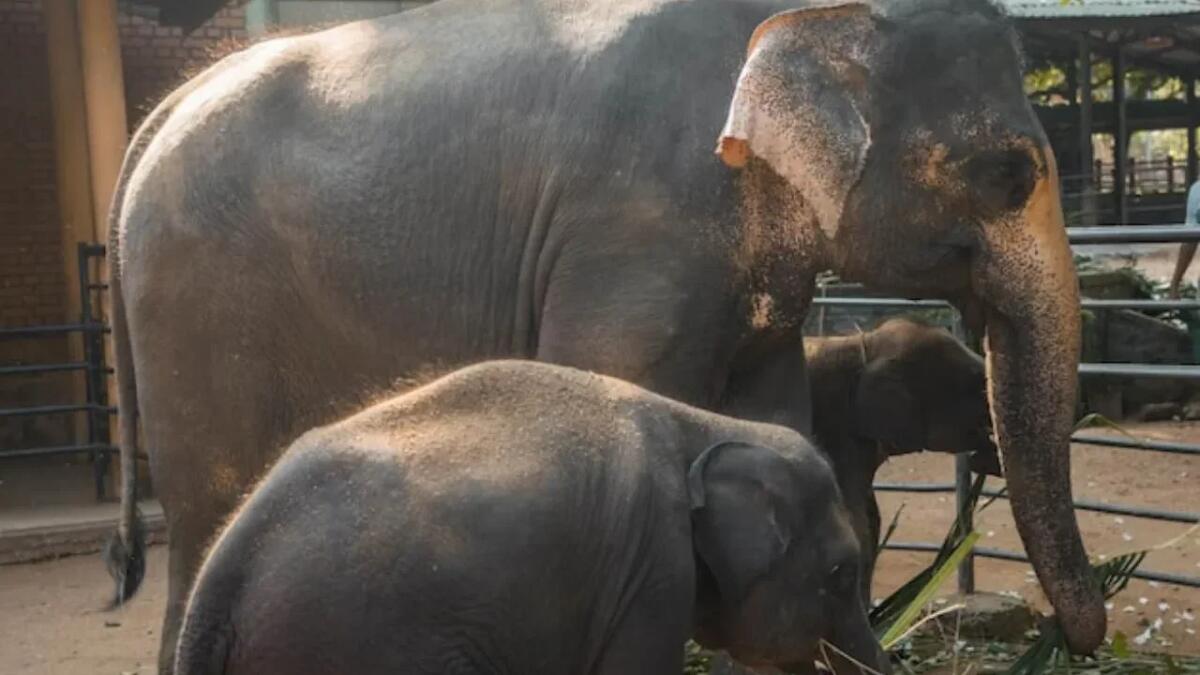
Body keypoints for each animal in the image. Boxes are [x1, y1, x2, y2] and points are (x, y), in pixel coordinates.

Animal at [805, 317, 1000, 604]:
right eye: (977, 382)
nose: (989, 451)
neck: (867, 345)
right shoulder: (836, 432)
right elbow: (856, 524)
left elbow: (870, 522)